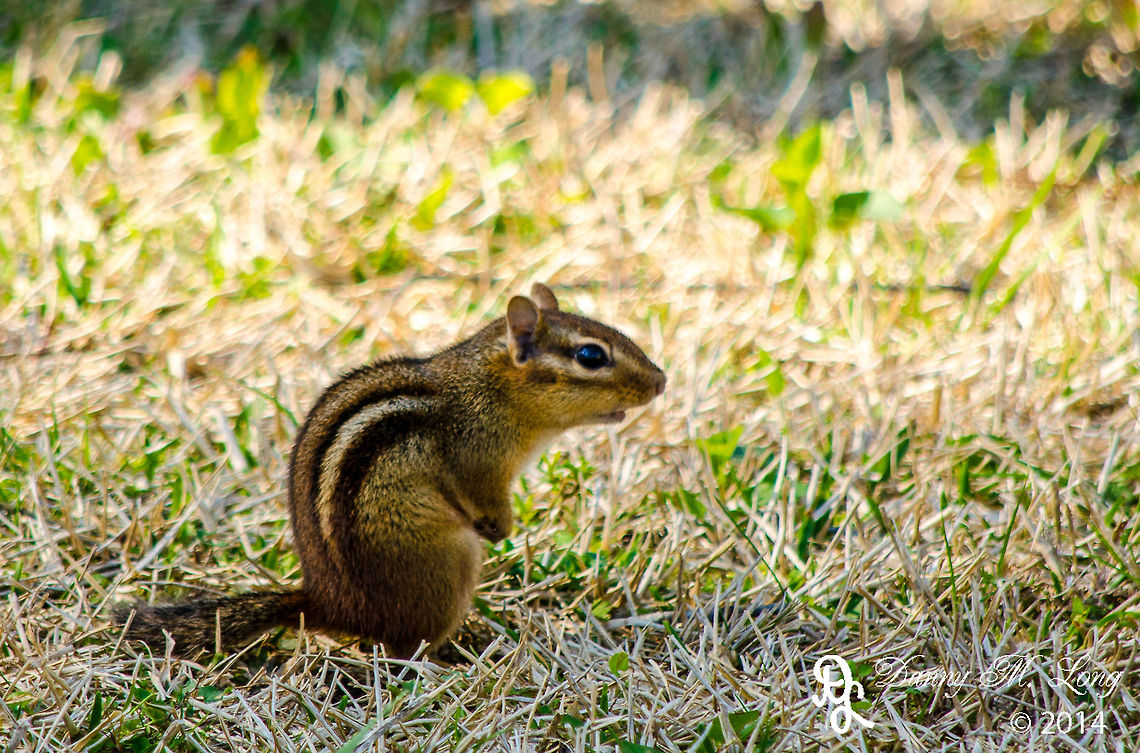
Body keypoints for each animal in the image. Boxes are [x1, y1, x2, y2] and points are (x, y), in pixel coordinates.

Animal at [113, 283, 666, 657]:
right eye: (591, 355)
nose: (661, 382)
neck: (493, 388)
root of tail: (327, 602)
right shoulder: (480, 461)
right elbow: (483, 497)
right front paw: (500, 529)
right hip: (451, 566)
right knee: (403, 649)